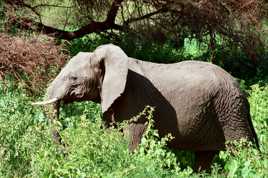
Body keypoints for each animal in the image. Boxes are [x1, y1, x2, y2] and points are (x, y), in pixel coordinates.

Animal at [31, 43, 260, 170]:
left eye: (73, 78)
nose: (68, 153)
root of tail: (242, 91)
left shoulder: (135, 100)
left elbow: (131, 142)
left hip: (229, 110)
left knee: (243, 151)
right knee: (205, 157)